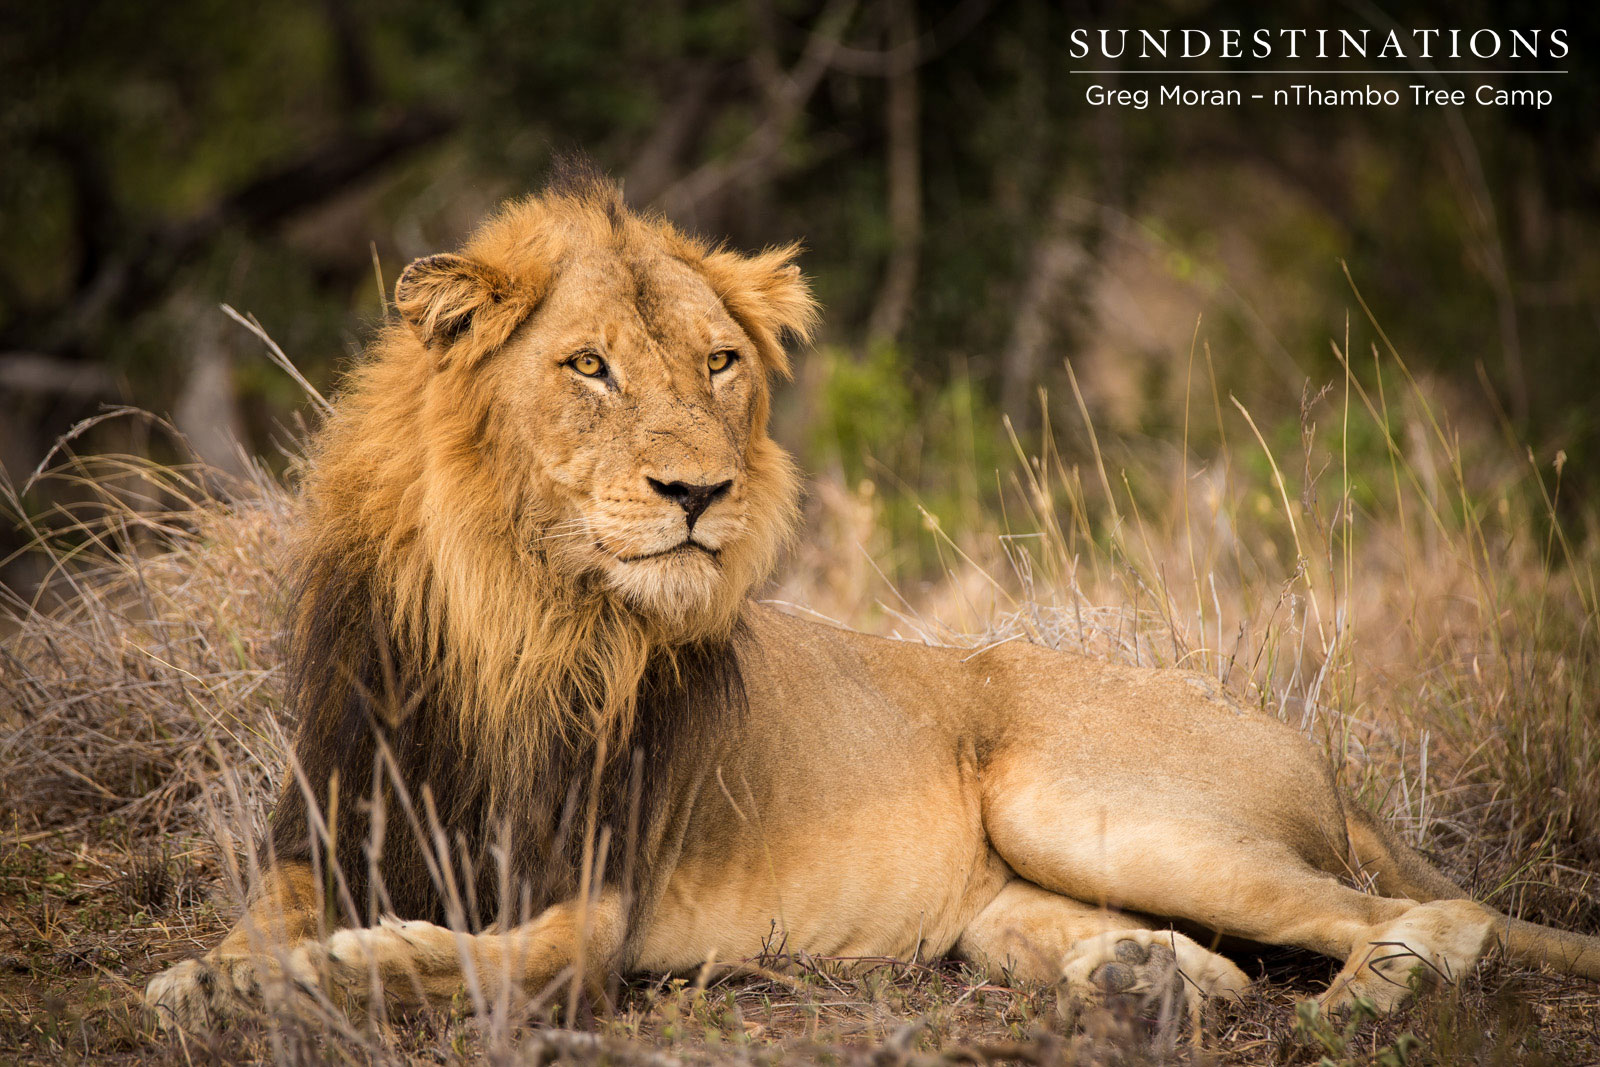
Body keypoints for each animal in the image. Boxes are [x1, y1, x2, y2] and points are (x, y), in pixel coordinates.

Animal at [146, 165, 1600, 1034]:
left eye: (719, 362)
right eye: (589, 366)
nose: (700, 489)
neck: (517, 613)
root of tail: (1307, 746)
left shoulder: (593, 905)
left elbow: (468, 955)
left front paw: (314, 972)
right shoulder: (316, 828)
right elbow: (254, 920)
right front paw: (213, 972)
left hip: (1090, 804)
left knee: (1439, 913)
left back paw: (1358, 1002)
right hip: (1019, 887)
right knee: (1211, 957)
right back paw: (1144, 982)